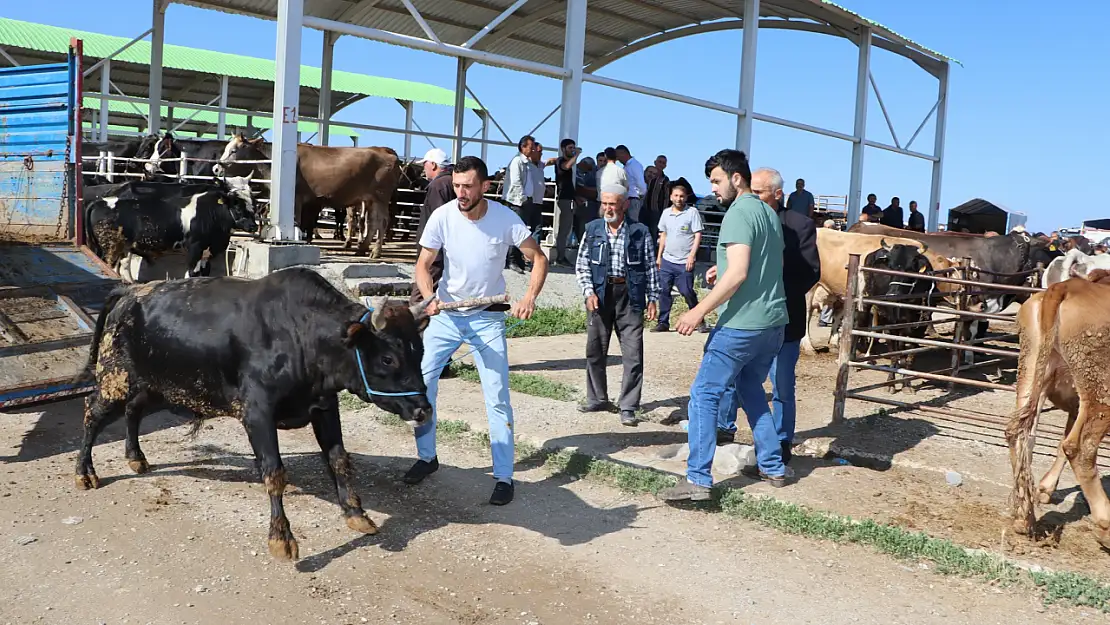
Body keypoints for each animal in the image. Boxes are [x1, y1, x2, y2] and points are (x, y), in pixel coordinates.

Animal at [72, 269, 432, 561]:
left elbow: (339, 460)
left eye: (420, 350)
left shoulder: (325, 407)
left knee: (133, 411)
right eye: (387, 358)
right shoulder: (257, 413)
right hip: (115, 378)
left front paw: (356, 513)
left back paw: (136, 457)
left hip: (152, 386)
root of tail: (131, 290)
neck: (302, 333)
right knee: (91, 412)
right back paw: (85, 472)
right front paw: (281, 539)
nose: (424, 409)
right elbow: (274, 473)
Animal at [84, 177, 257, 281]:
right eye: (237, 206)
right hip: (110, 247)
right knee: (109, 265)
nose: (253, 226)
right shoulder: (195, 247)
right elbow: (191, 272)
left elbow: (203, 273)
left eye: (253, 203)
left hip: (124, 246)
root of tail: (100, 201)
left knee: (124, 265)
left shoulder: (207, 251)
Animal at [856, 242, 936, 392]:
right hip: (865, 304)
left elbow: (909, 355)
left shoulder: (919, 328)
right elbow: (893, 354)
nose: (892, 295)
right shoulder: (890, 325)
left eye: (909, 269)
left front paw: (906, 383)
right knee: (860, 326)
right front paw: (891, 383)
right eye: (890, 267)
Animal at [1012, 268, 1110, 548]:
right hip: (1100, 390)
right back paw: (1106, 526)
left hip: (1033, 368)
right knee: (1080, 448)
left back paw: (1023, 519)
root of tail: (1067, 286)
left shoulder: (1075, 406)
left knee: (1021, 435)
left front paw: (1045, 489)